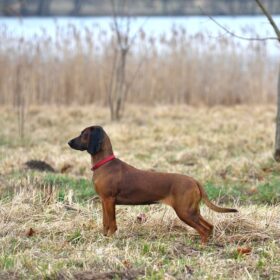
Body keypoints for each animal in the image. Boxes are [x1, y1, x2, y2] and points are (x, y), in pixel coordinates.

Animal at [68, 126, 236, 244]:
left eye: (84, 134)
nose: (68, 142)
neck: (105, 164)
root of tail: (194, 180)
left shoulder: (109, 200)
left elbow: (112, 223)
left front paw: (109, 239)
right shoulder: (104, 201)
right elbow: (105, 222)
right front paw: (104, 237)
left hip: (184, 212)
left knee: (203, 229)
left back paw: (202, 245)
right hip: (192, 211)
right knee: (209, 226)